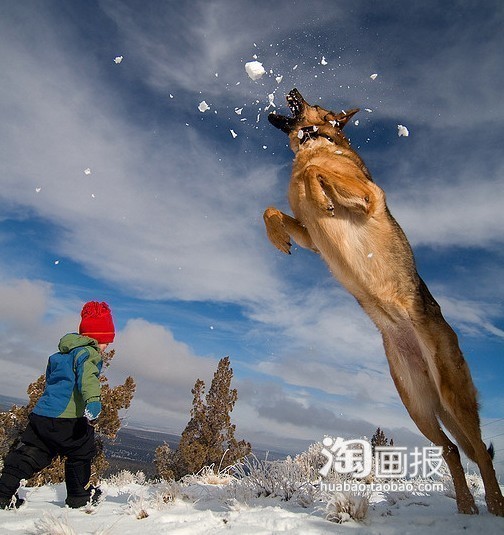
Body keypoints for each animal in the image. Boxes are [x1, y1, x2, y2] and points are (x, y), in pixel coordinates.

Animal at [264, 89, 504, 516]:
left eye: (312, 101)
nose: (292, 90)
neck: (315, 144)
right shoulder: (310, 235)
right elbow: (271, 209)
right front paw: (278, 237)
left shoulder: (369, 197)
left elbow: (316, 175)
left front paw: (321, 196)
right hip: (419, 406)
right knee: (453, 451)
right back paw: (466, 506)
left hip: (452, 395)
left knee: (479, 451)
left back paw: (494, 506)